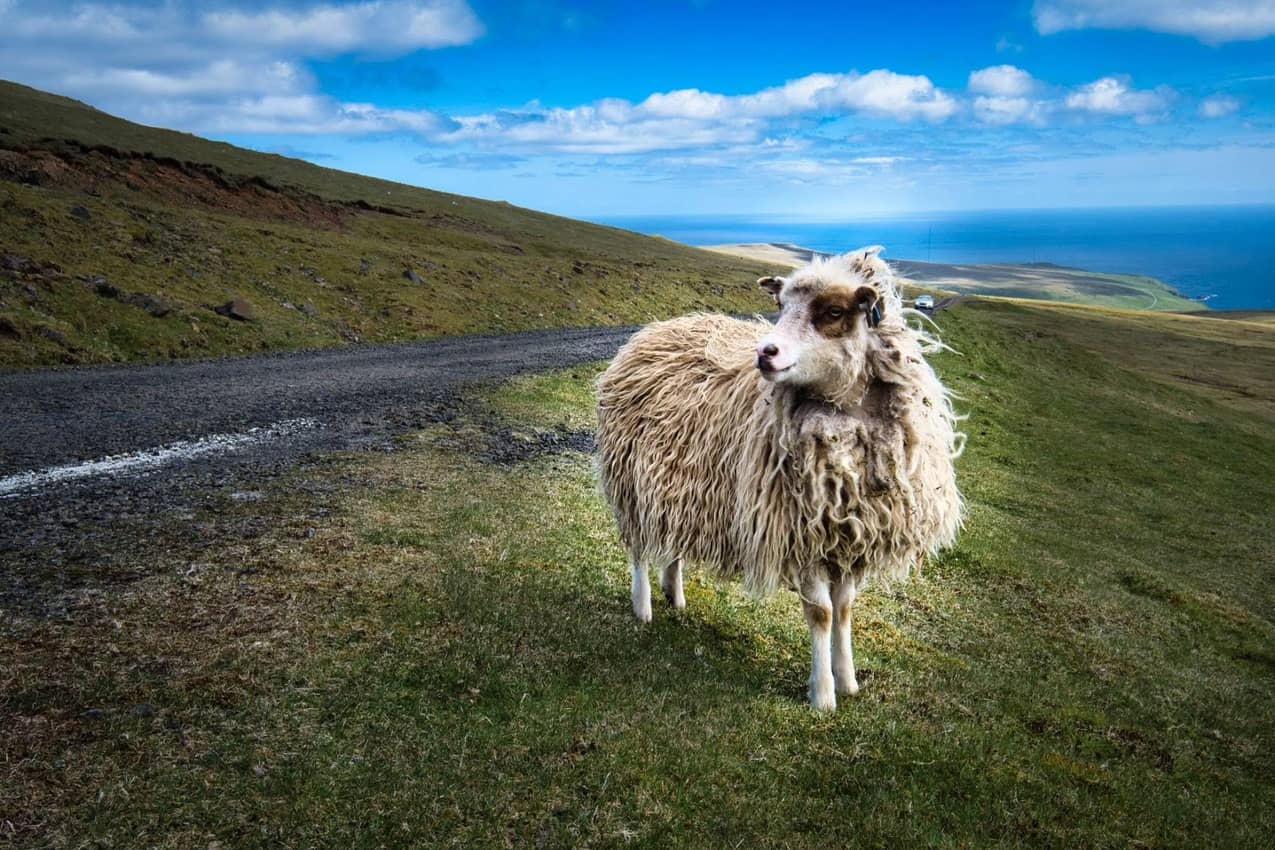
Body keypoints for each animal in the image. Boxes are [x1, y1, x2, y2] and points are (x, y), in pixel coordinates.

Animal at [591, 244, 958, 713]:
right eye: (780, 306)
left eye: (833, 311)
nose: (765, 352)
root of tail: (655, 328)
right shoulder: (800, 532)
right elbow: (821, 614)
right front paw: (822, 695)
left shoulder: (849, 536)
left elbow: (845, 611)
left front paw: (848, 680)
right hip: (629, 481)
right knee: (638, 547)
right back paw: (643, 609)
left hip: (675, 484)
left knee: (670, 541)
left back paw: (675, 595)